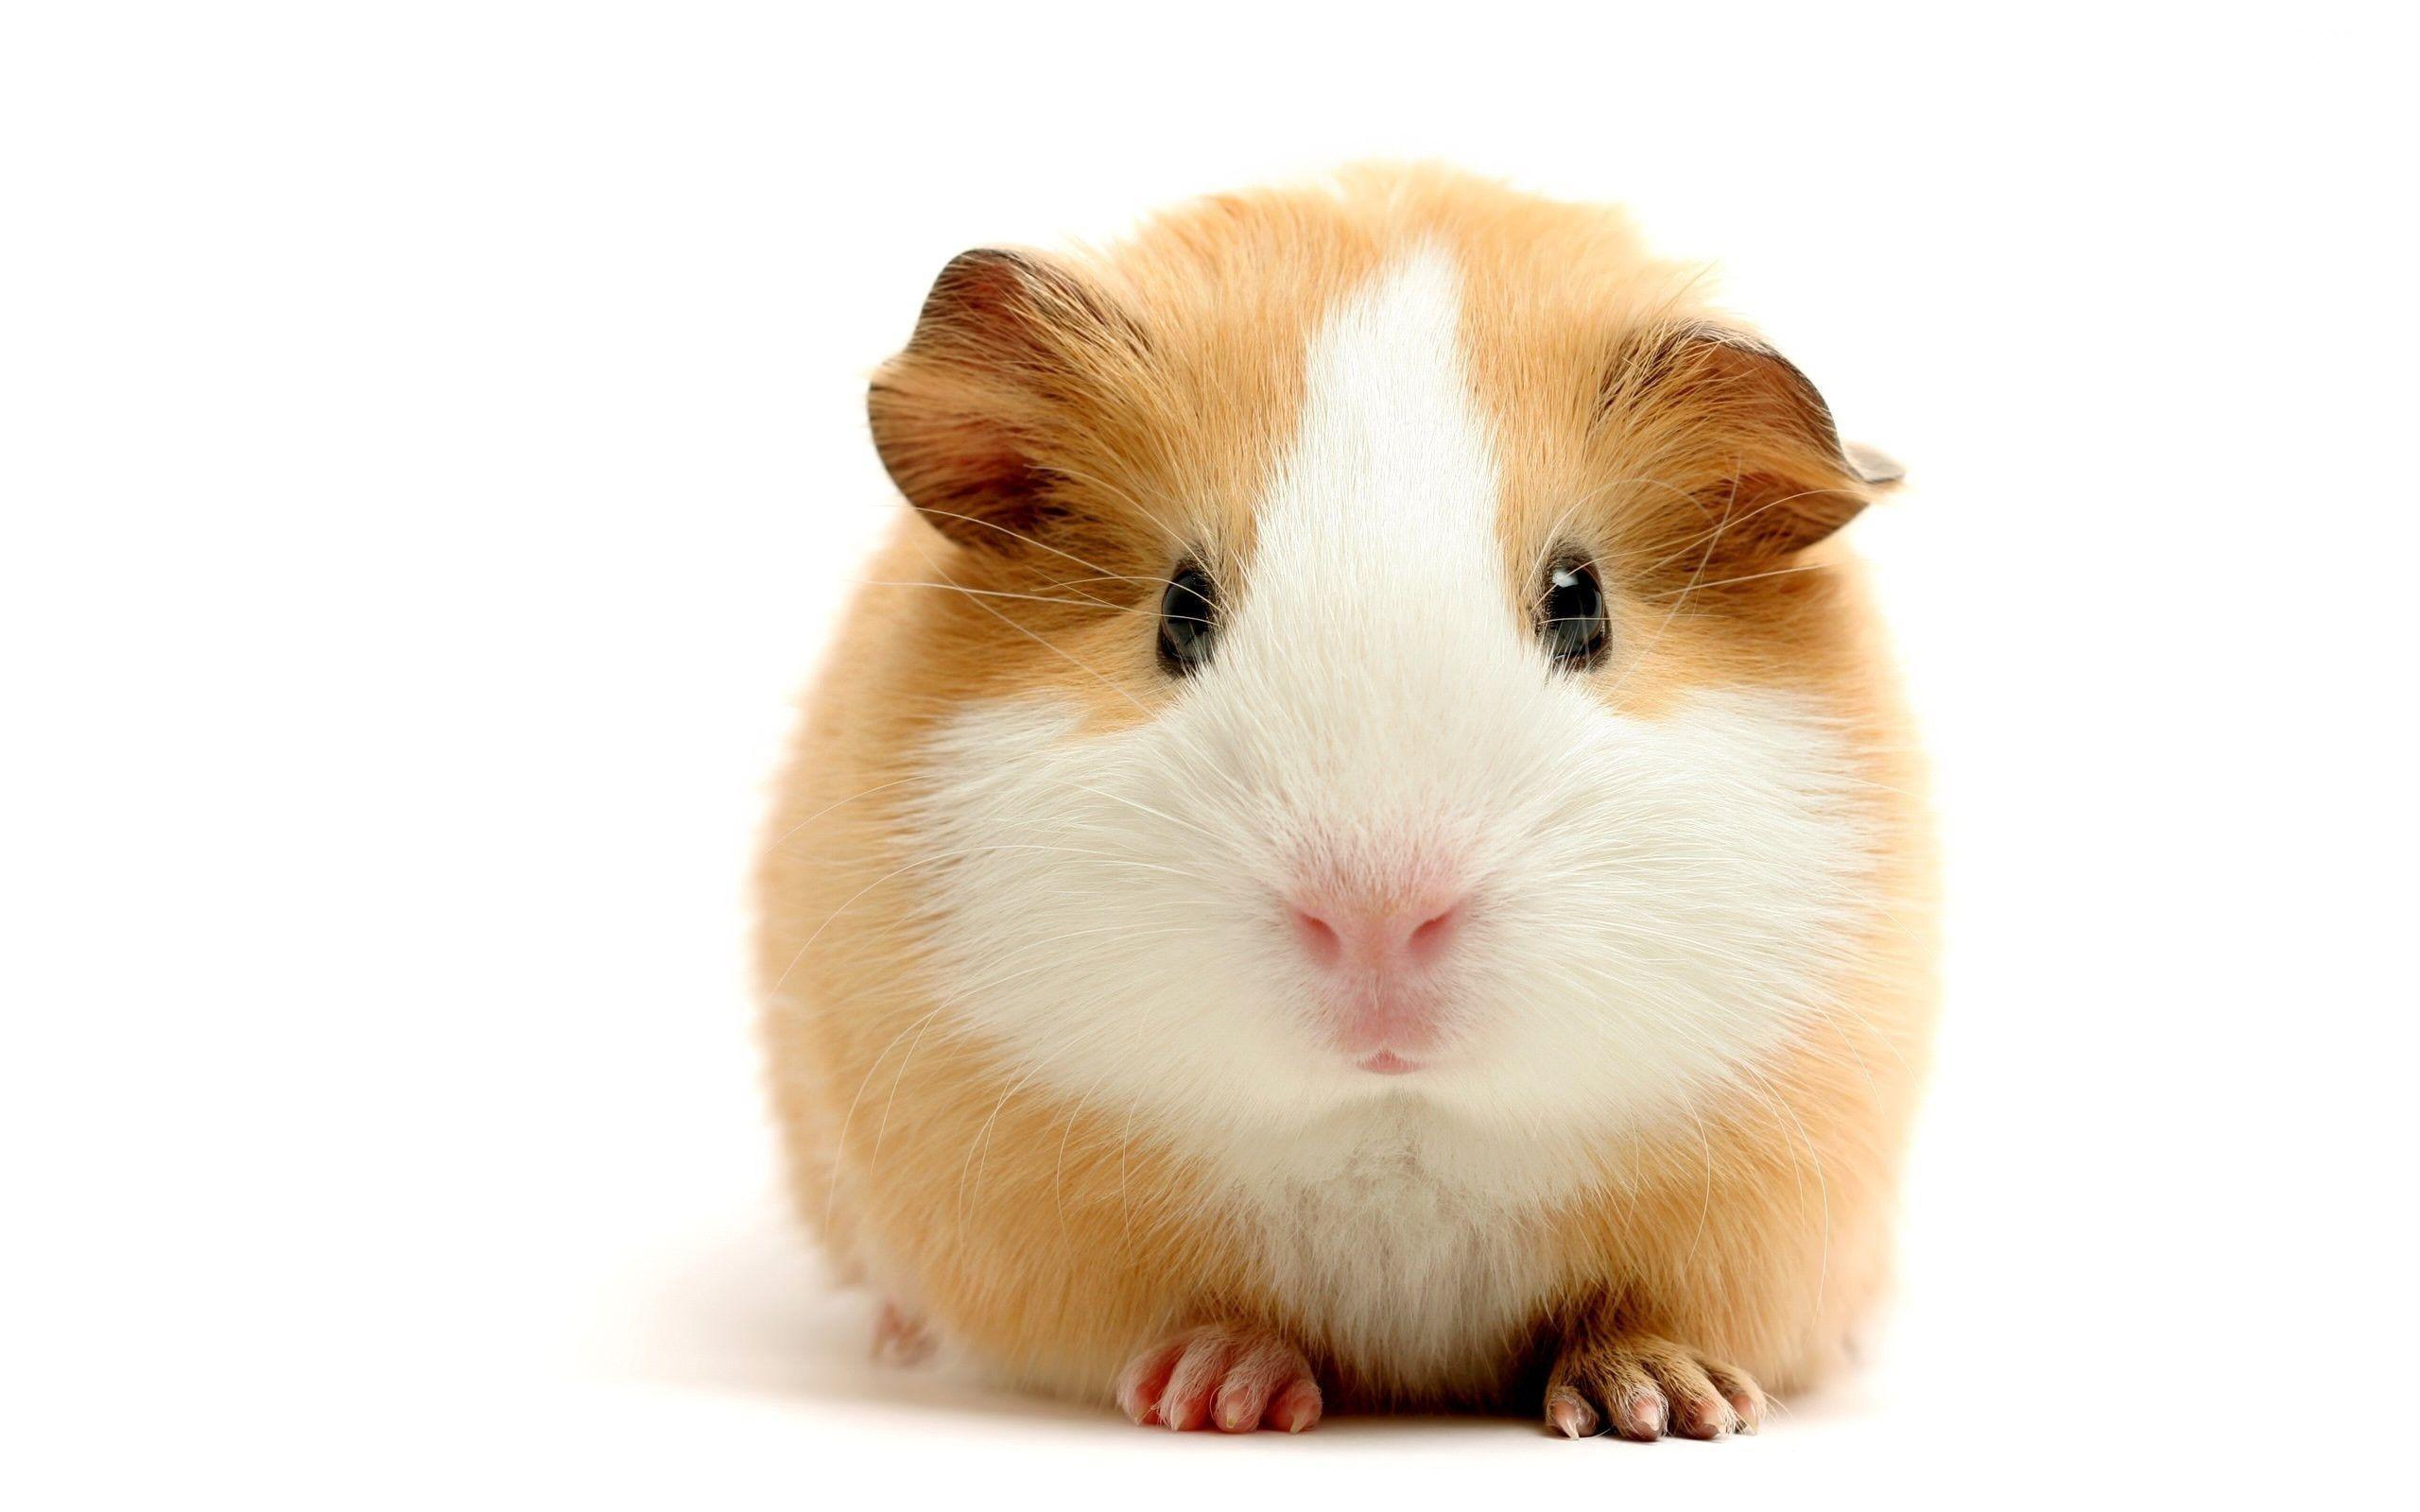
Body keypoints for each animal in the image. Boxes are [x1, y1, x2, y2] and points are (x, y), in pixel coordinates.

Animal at [757, 165, 1936, 1439]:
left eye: (1582, 604)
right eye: (1179, 611)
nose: (1377, 918)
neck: (1394, 1131)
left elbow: (1635, 1312)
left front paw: (1674, 1406)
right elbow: (1192, 1316)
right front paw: (1216, 1395)